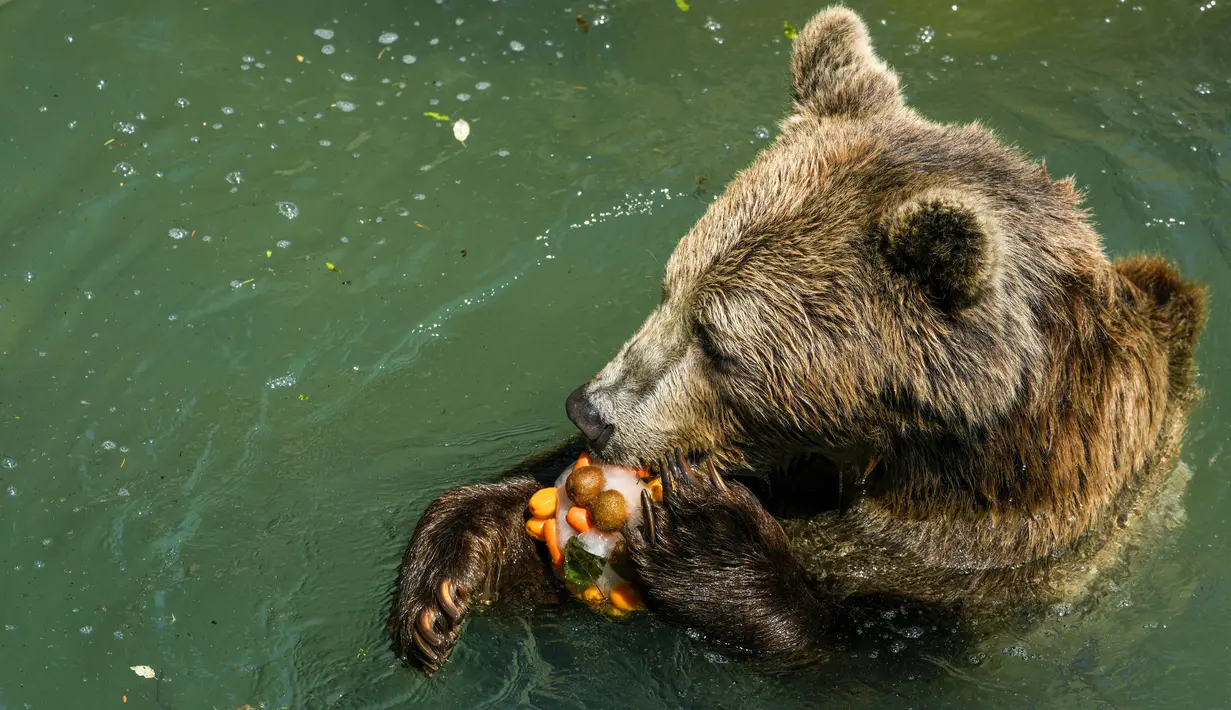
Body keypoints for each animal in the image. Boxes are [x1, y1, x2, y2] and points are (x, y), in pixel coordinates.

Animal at [391, 4, 1201, 669]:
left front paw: (705, 535)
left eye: (718, 343)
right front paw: (450, 571)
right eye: (669, 290)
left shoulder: (984, 562)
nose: (589, 410)